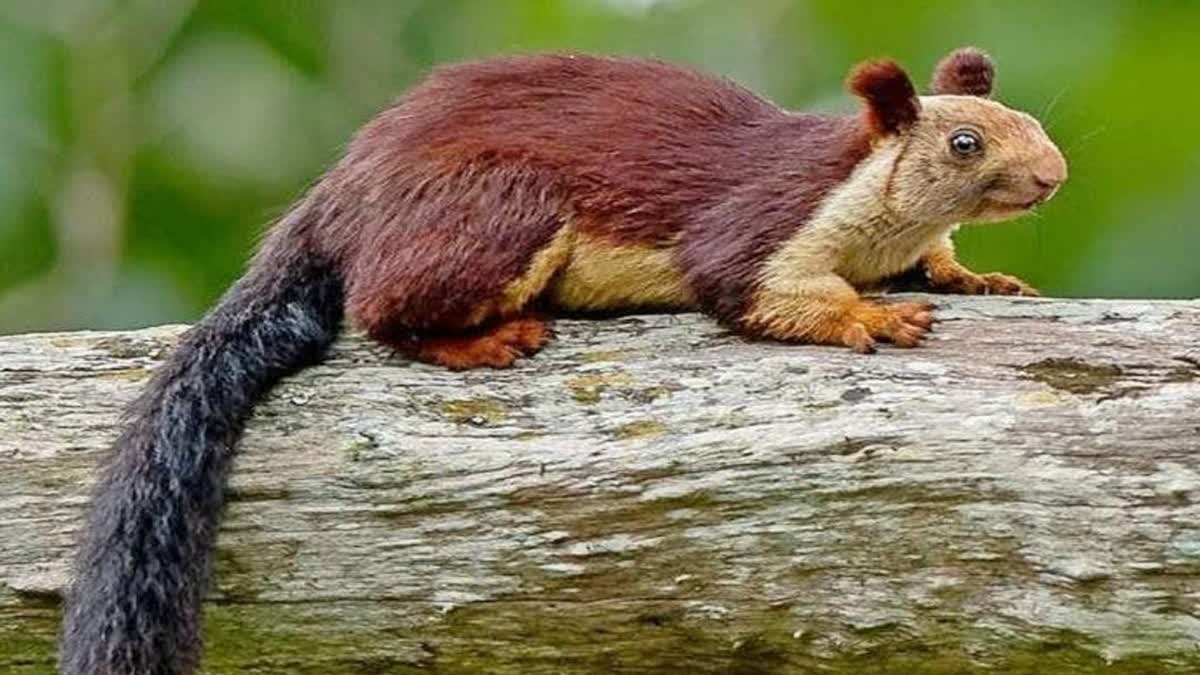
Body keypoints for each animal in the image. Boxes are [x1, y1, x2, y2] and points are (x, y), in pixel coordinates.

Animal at [60, 47, 1065, 674]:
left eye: (1026, 115)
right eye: (965, 142)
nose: (1054, 175)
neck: (874, 218)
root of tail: (337, 195)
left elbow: (937, 262)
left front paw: (977, 275)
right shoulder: (760, 222)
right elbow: (752, 287)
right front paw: (871, 317)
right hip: (500, 209)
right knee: (380, 306)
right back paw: (489, 336)